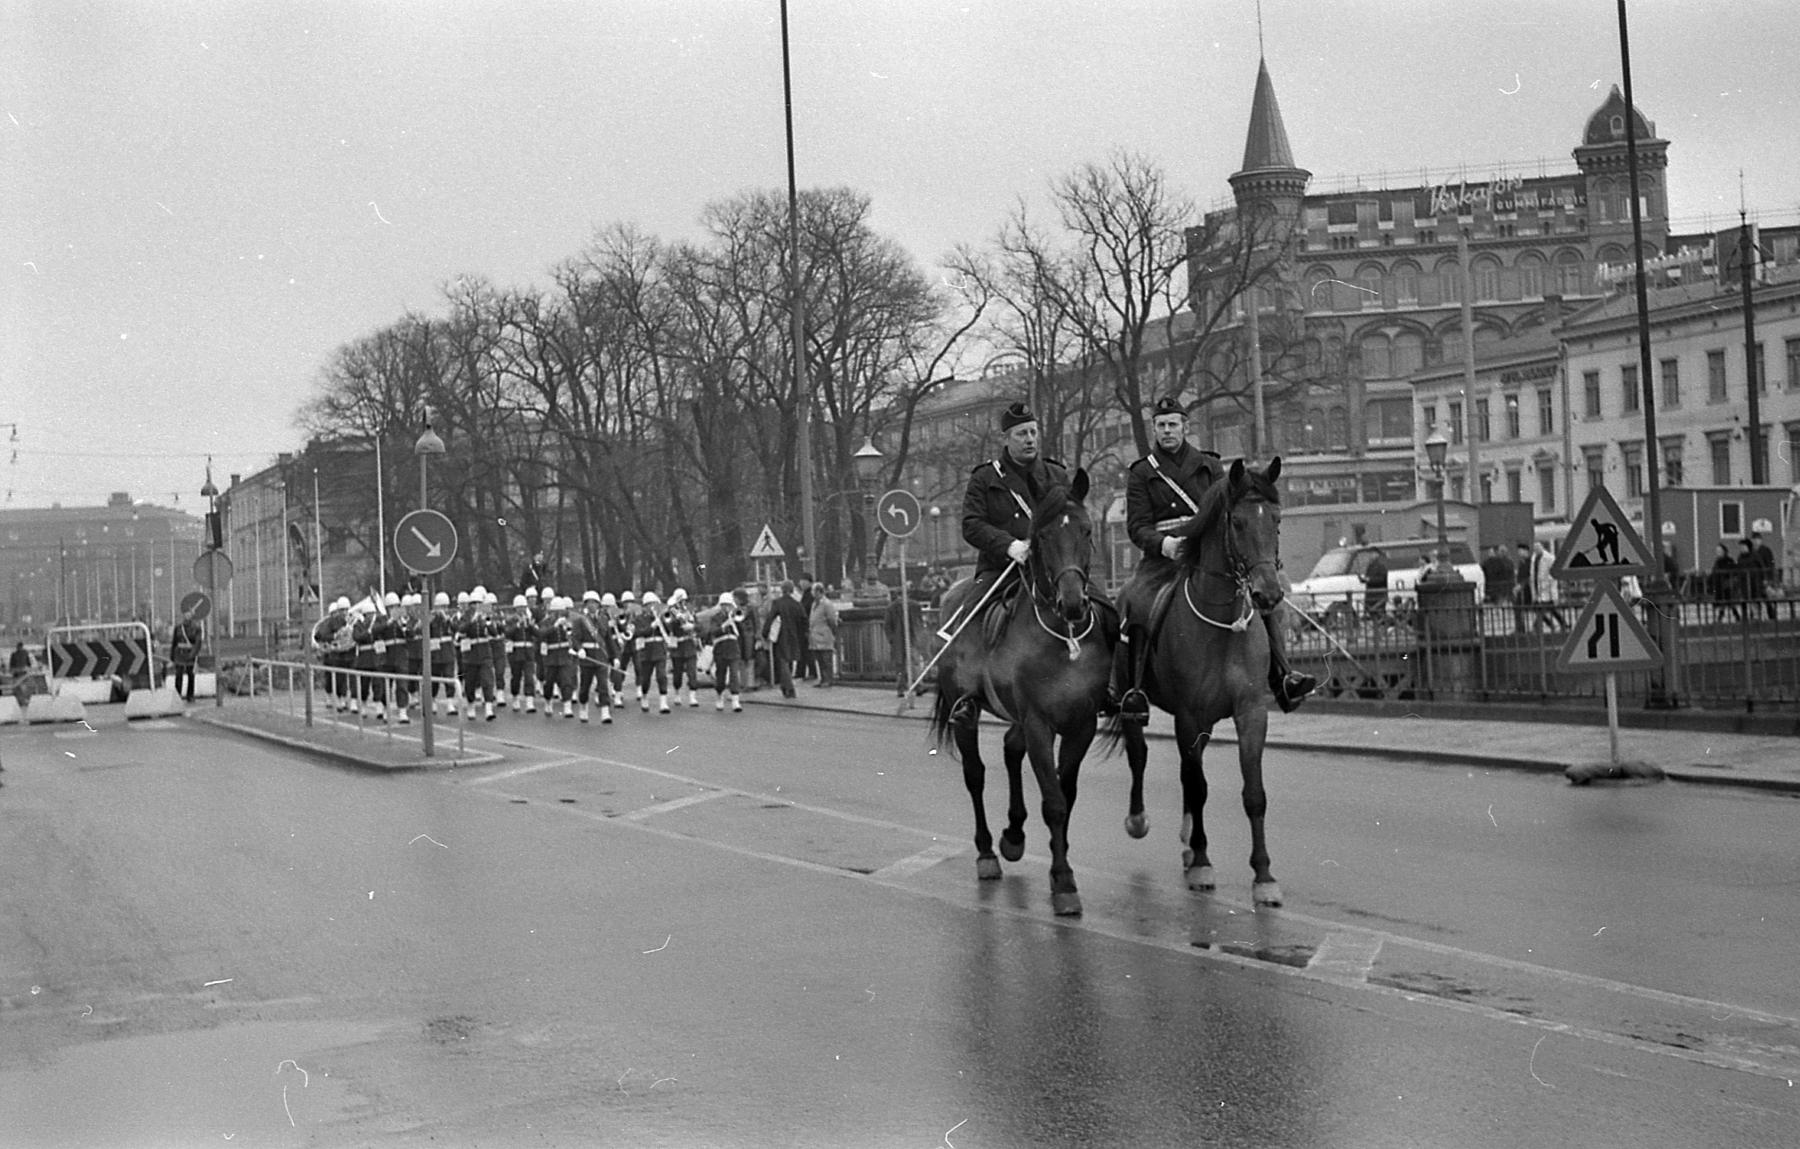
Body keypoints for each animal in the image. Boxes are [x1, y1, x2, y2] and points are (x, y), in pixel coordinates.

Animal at [927, 468, 1117, 917]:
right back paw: (986, 854)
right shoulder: (1039, 724)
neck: (1064, 638)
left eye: (1087, 530)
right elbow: (1054, 801)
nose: (1073, 603)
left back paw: (1013, 835)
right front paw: (1063, 881)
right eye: (1042, 536)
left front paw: (1056, 863)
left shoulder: (1081, 724)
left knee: (1011, 752)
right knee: (975, 774)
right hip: (968, 712)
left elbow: (1065, 793)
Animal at [1115, 457, 1289, 907]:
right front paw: (1203, 863)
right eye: (1238, 523)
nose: (1268, 595)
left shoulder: (1251, 713)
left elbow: (1253, 794)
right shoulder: (1189, 716)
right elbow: (1198, 787)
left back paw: (1187, 841)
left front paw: (1264, 875)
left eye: (1277, 520)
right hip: (1135, 703)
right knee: (1140, 754)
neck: (1221, 622)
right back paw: (1140, 821)